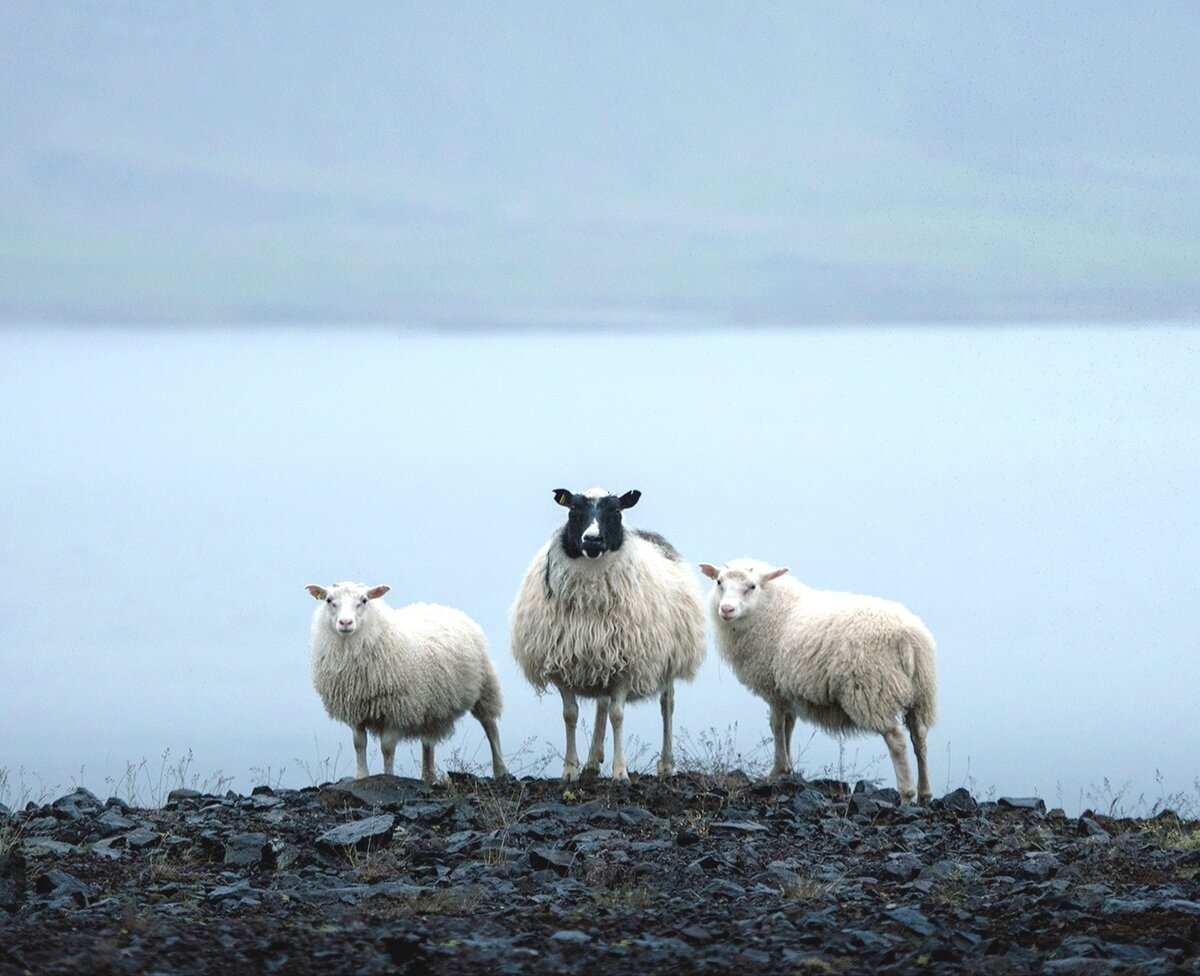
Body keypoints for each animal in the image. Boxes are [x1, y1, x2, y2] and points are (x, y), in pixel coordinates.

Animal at [304, 578, 506, 782]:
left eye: (364, 600)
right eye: (329, 600)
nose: (345, 622)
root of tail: (446, 608)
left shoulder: (398, 708)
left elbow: (387, 748)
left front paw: (388, 778)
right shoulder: (354, 707)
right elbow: (359, 743)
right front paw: (361, 776)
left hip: (485, 685)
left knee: (490, 726)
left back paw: (500, 770)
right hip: (431, 704)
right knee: (428, 741)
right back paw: (428, 776)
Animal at [508, 492, 710, 782]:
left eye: (616, 511)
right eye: (573, 510)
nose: (592, 539)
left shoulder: (628, 663)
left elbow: (618, 716)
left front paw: (621, 772)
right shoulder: (563, 663)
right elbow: (570, 715)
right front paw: (570, 770)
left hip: (669, 658)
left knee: (666, 705)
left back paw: (666, 764)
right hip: (602, 658)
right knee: (602, 704)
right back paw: (593, 762)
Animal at [700, 559, 940, 801]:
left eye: (752, 586)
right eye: (719, 582)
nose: (726, 609)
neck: (773, 609)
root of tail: (908, 639)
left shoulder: (774, 688)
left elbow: (776, 726)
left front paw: (777, 770)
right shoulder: (787, 690)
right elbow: (789, 726)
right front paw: (788, 769)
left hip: (872, 689)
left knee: (896, 739)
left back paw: (906, 794)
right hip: (921, 691)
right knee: (919, 736)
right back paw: (925, 793)